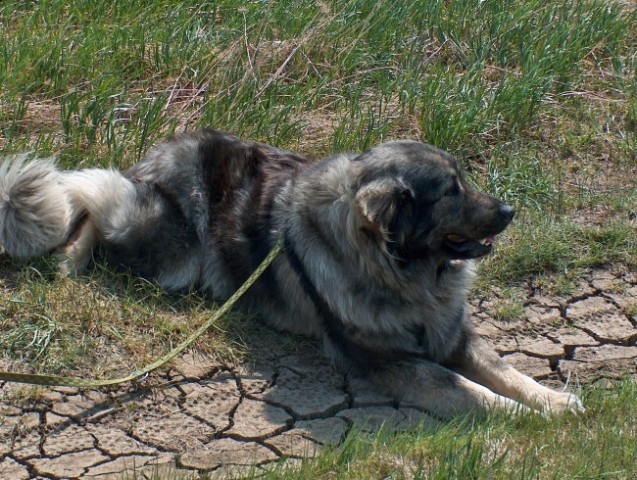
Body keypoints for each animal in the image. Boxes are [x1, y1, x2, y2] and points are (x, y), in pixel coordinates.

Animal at [0, 129, 580, 418]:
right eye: (450, 191)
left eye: (464, 180)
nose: (509, 211)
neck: (401, 272)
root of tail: (167, 149)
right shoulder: (388, 361)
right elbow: (467, 389)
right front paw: (530, 419)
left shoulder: (454, 333)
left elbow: (506, 370)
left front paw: (554, 401)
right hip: (170, 252)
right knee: (92, 199)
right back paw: (69, 258)